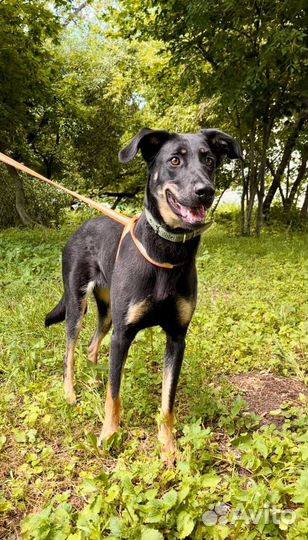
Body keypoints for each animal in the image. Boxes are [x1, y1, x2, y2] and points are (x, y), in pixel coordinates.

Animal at [45, 129, 243, 462]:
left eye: (210, 160)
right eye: (174, 160)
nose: (205, 191)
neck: (167, 250)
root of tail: (83, 225)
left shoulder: (177, 337)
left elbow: (167, 401)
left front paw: (168, 445)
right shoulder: (123, 334)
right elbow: (114, 394)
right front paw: (109, 435)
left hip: (108, 311)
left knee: (93, 344)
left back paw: (95, 370)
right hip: (77, 303)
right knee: (70, 350)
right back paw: (70, 392)